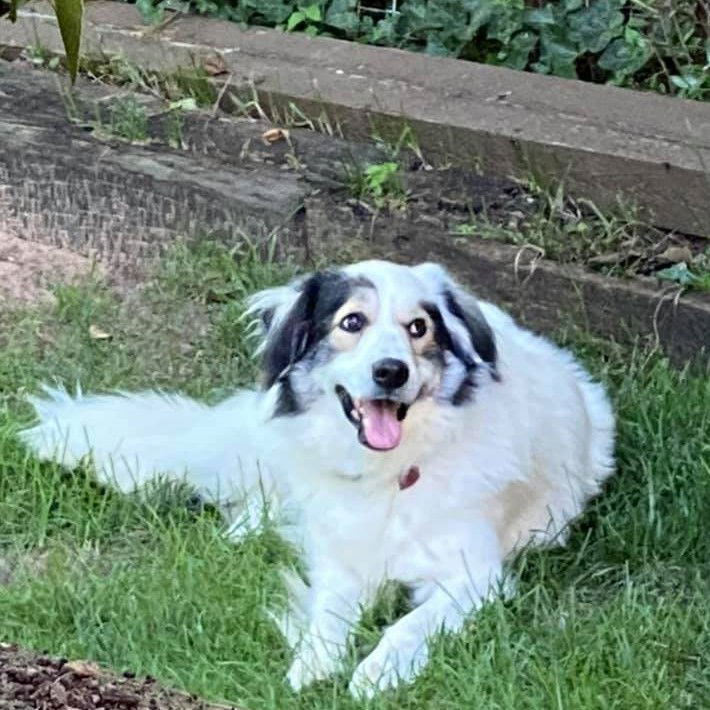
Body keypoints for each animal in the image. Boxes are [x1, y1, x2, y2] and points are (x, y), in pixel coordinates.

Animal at [19, 258, 616, 700]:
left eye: (418, 328)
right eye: (352, 322)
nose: (391, 371)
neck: (389, 473)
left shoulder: (475, 578)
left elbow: (408, 624)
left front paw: (376, 672)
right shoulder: (342, 562)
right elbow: (326, 616)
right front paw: (313, 664)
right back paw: (245, 532)